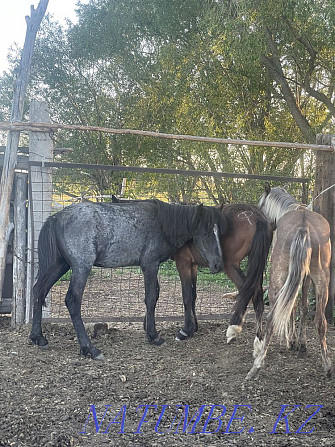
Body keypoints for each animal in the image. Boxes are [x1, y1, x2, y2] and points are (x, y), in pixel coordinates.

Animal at [30, 200, 227, 360]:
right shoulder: (150, 265)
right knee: (72, 301)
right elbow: (151, 298)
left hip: (59, 265)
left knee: (38, 291)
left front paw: (149, 331)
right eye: (207, 231)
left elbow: (154, 297)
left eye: (219, 232)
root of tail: (56, 218)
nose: (218, 264)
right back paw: (90, 349)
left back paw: (38, 337)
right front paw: (154, 336)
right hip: (81, 268)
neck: (161, 223)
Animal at [173, 203, 272, 346]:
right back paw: (258, 341)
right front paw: (194, 327)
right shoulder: (193, 265)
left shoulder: (183, 263)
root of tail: (257, 217)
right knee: (257, 294)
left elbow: (187, 296)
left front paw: (185, 331)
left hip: (230, 265)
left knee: (246, 290)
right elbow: (193, 295)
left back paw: (233, 327)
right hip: (257, 264)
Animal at [247, 187, 334, 380]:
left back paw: (257, 365)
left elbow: (290, 307)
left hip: (277, 277)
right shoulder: (306, 276)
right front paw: (300, 343)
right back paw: (327, 365)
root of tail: (304, 227)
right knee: (320, 321)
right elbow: (302, 307)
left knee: (272, 317)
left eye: (261, 205)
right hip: (322, 278)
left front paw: (291, 340)